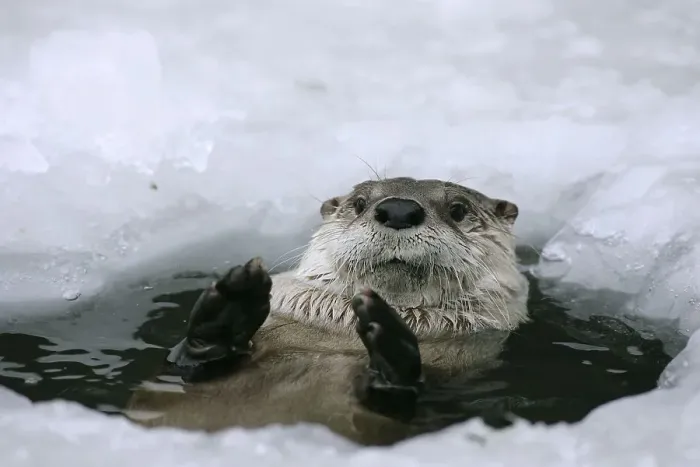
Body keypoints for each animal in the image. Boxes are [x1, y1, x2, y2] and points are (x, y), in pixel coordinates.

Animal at [126, 177, 529, 445]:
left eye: (458, 209)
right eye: (360, 202)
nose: (399, 209)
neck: (334, 336)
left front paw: (389, 351)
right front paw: (228, 312)